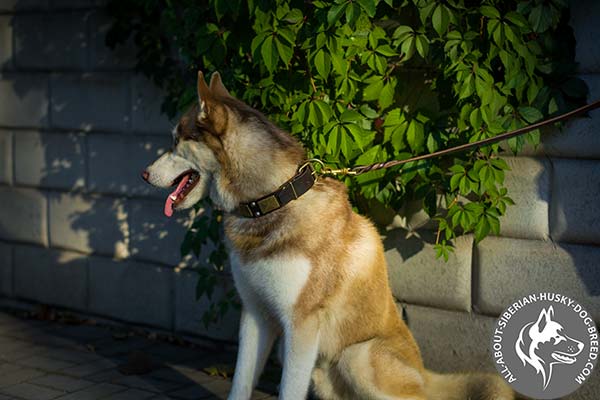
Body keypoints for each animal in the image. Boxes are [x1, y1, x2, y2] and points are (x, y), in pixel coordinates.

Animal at [143, 70, 512, 398]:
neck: (272, 200)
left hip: (356, 357)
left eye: (175, 140)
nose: (143, 174)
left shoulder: (301, 324)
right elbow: (240, 385)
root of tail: (425, 374)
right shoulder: (256, 315)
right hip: (319, 372)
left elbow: (288, 392)